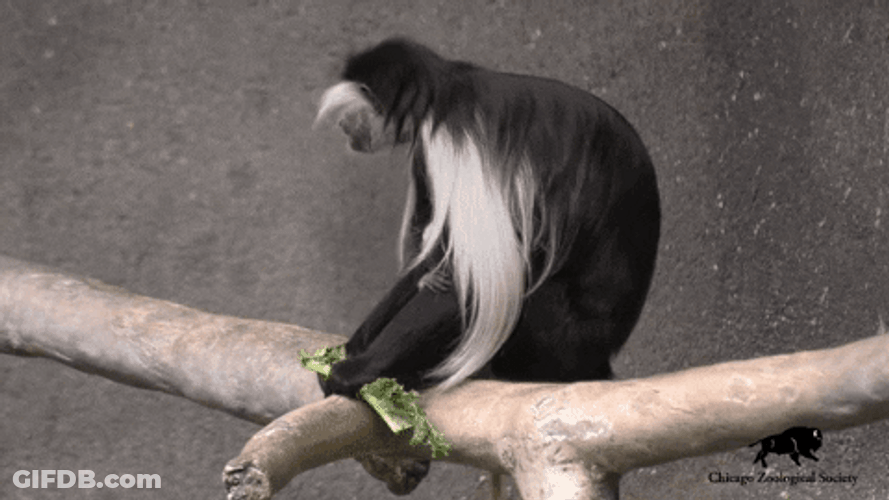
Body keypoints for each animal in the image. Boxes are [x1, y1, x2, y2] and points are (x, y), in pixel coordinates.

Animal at [314, 38, 661, 399]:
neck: (442, 94)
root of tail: (599, 357)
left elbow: (472, 280)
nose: (343, 125)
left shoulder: (459, 142)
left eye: (358, 106)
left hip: (558, 337)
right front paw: (354, 345)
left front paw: (355, 372)